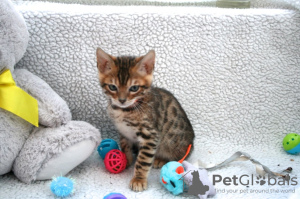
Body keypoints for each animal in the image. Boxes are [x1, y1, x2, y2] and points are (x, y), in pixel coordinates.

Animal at [95, 47, 195, 191]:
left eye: (134, 88)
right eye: (113, 87)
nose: (122, 100)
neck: (125, 110)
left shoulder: (150, 135)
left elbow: (143, 161)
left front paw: (138, 179)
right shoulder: (123, 131)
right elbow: (125, 146)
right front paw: (126, 160)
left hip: (173, 143)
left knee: (179, 158)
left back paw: (161, 160)